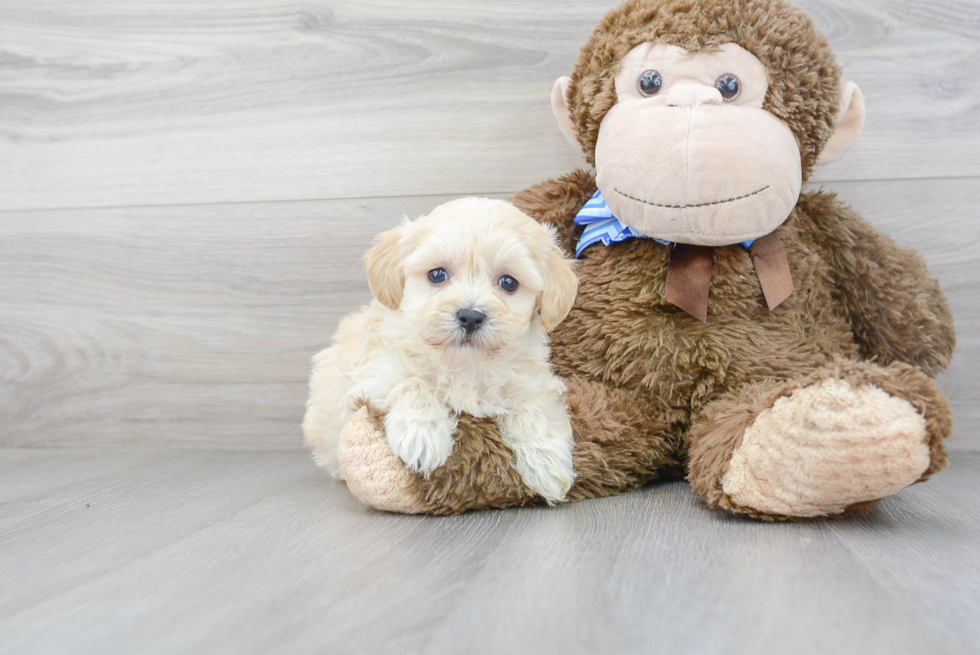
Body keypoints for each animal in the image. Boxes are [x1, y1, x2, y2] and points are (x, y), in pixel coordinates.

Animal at [304, 197, 580, 504]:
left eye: (509, 282)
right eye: (437, 275)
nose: (471, 316)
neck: (465, 362)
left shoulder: (533, 381)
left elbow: (535, 408)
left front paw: (548, 463)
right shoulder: (371, 375)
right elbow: (412, 381)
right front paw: (422, 435)